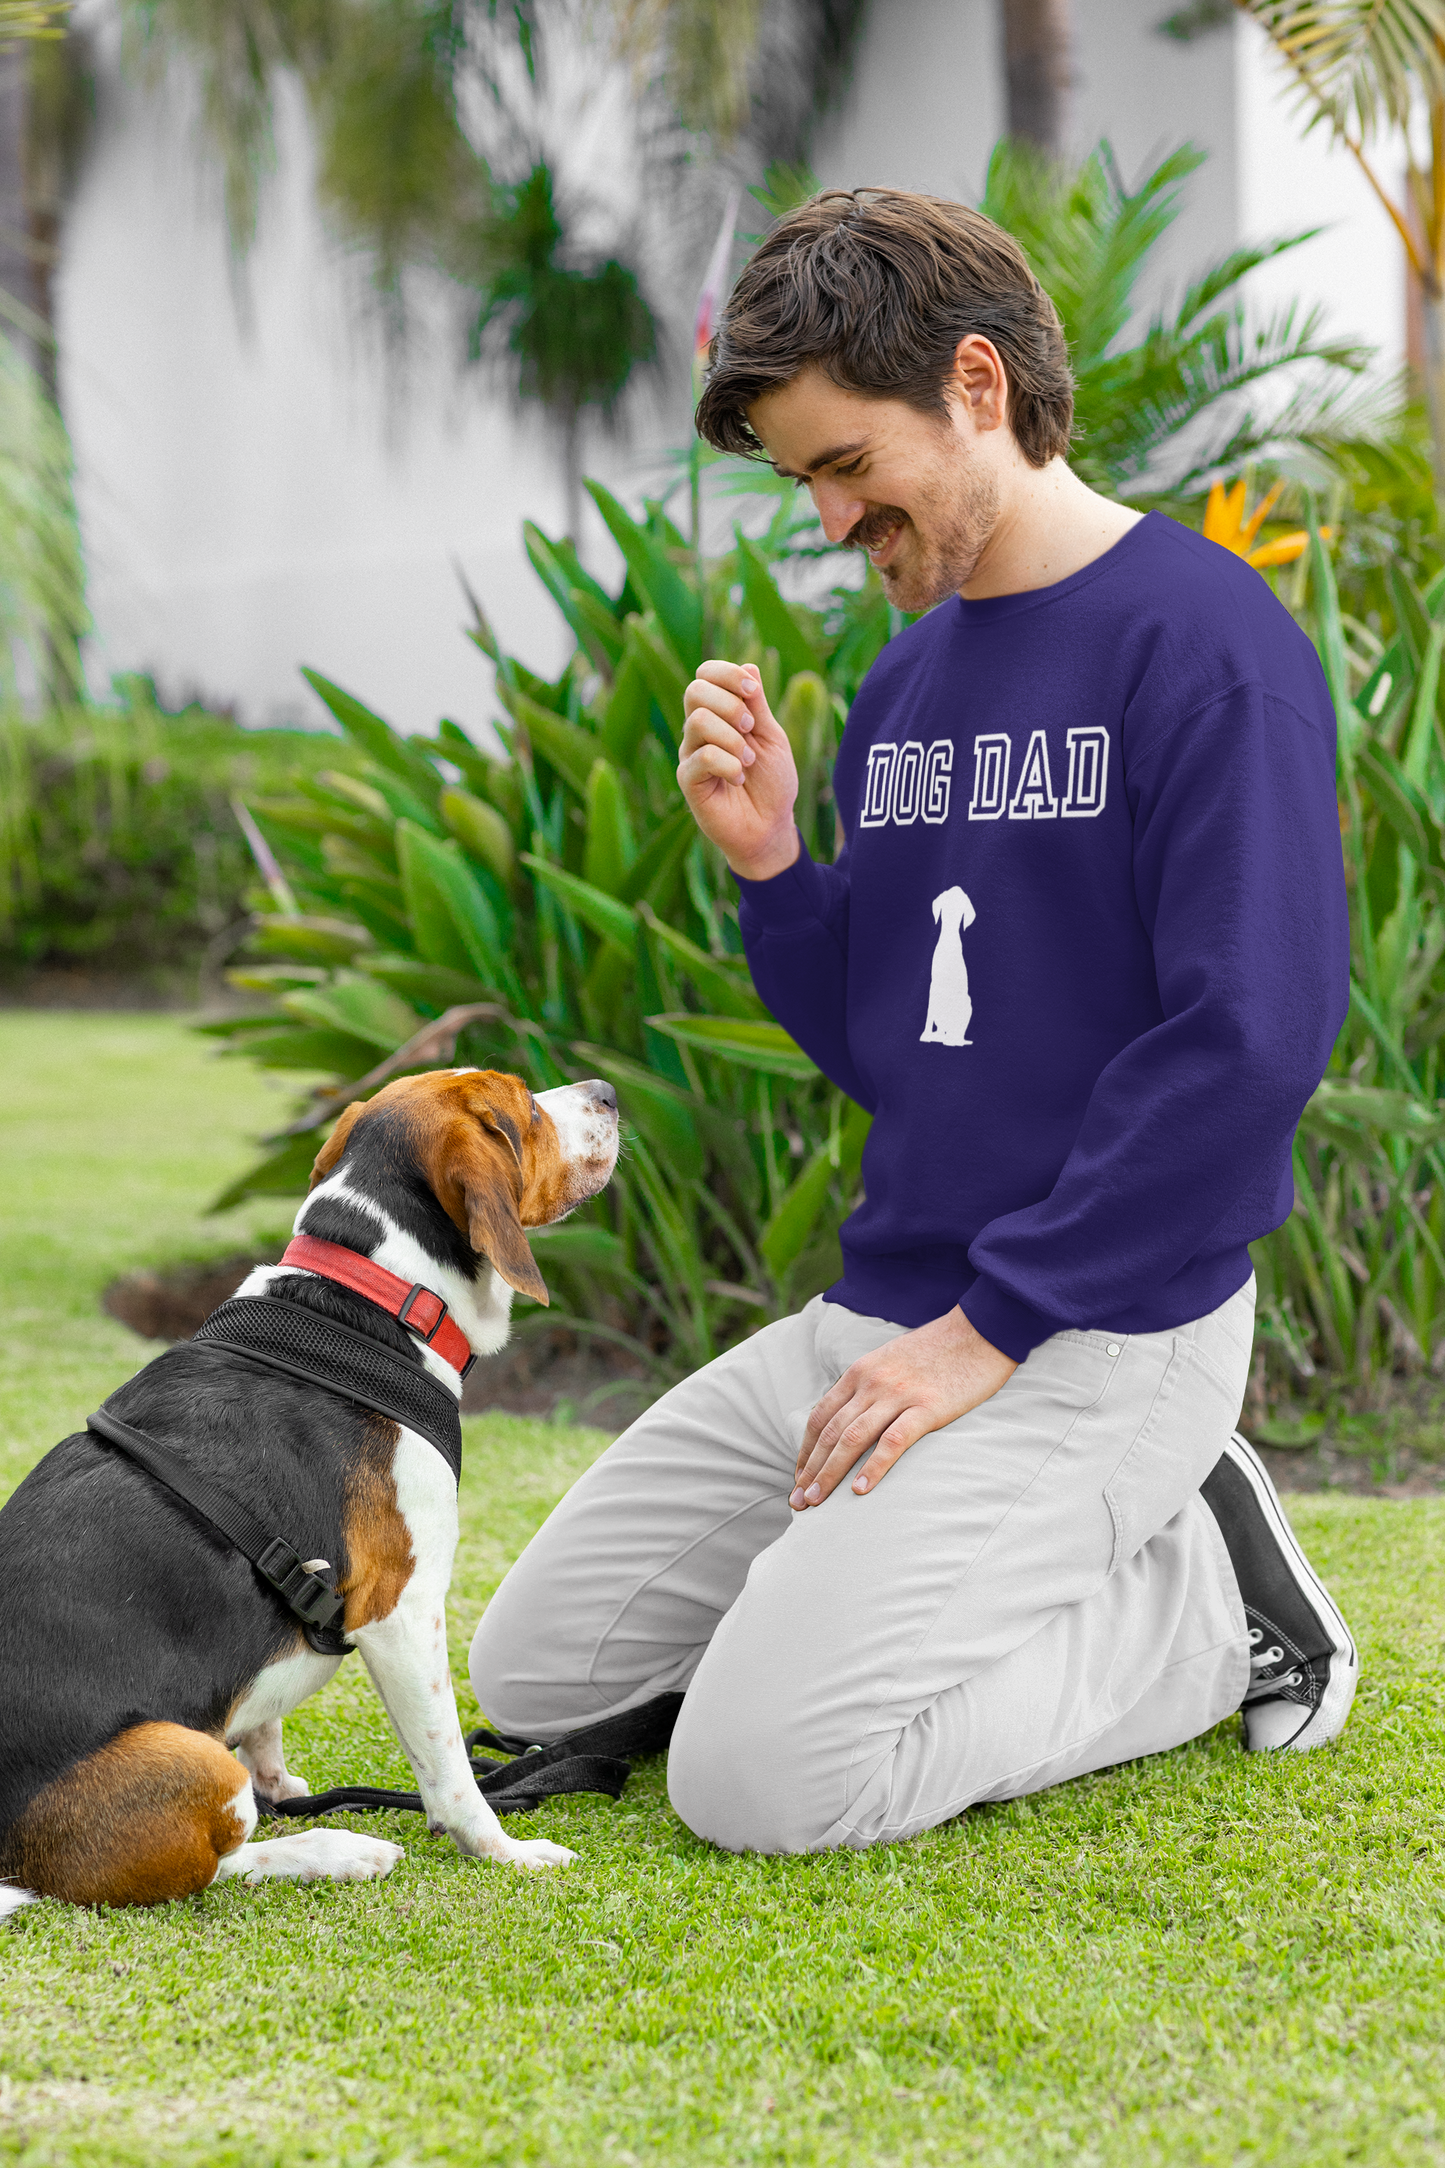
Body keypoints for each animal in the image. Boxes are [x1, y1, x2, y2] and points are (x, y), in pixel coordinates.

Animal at [0, 1066, 615, 1916]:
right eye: (523, 1106)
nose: (609, 1090)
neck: (372, 1297)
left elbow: (263, 1728)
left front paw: (284, 1785)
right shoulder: (401, 1613)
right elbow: (450, 1773)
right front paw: (503, 1850)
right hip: (187, 1757)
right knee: (204, 1867)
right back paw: (333, 1850)